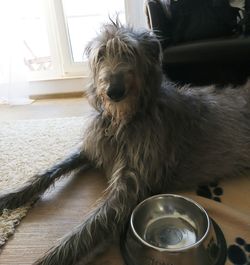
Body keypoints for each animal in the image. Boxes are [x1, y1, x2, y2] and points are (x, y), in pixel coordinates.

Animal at [0, 21, 250, 264]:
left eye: (130, 52)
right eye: (101, 54)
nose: (114, 91)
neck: (122, 121)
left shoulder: (130, 183)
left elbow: (91, 226)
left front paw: (47, 259)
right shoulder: (92, 147)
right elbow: (51, 170)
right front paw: (12, 195)